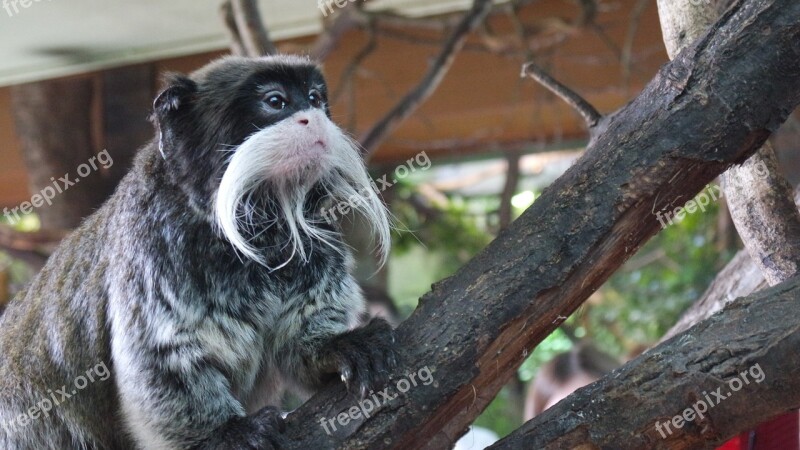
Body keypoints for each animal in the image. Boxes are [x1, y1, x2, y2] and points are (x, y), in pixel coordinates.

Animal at [0, 54, 398, 448]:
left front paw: (336, 346)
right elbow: (165, 356)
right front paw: (224, 433)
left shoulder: (315, 237)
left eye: (315, 98)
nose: (313, 117)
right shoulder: (153, 247)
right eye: (276, 102)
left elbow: (297, 339)